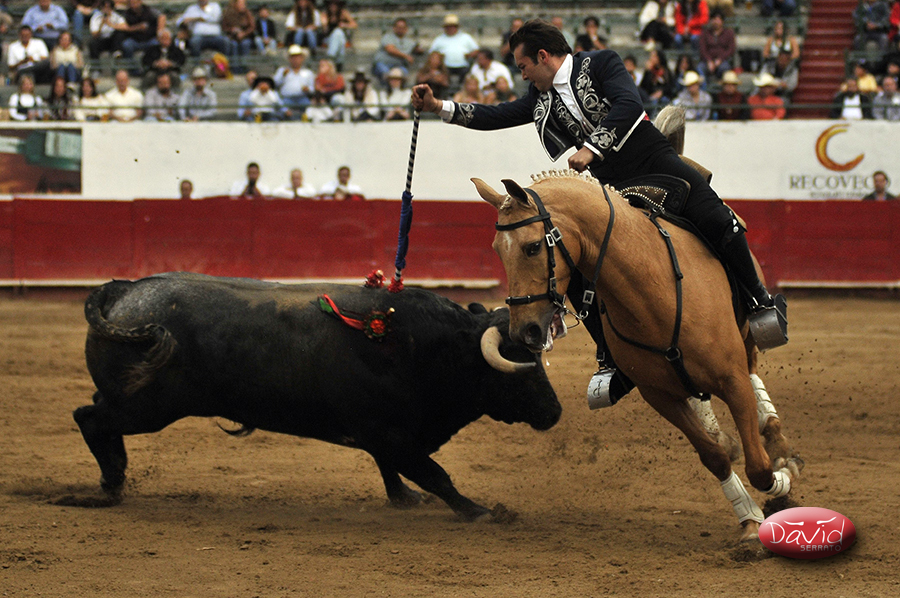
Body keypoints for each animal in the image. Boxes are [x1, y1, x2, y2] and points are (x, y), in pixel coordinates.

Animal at [74, 272, 561, 521]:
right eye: (520, 371)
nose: (554, 412)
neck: (424, 346)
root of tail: (125, 290)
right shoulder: (389, 433)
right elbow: (435, 474)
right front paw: (482, 511)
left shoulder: (384, 435)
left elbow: (394, 470)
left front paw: (405, 498)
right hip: (150, 407)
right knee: (89, 418)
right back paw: (110, 485)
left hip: (131, 399)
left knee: (97, 414)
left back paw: (113, 478)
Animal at [473, 170, 803, 543]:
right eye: (497, 249)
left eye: (532, 247)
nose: (523, 331)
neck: (652, 289)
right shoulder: (657, 395)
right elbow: (713, 456)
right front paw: (749, 517)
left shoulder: (731, 380)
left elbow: (759, 467)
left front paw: (783, 481)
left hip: (748, 340)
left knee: (754, 377)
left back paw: (778, 442)